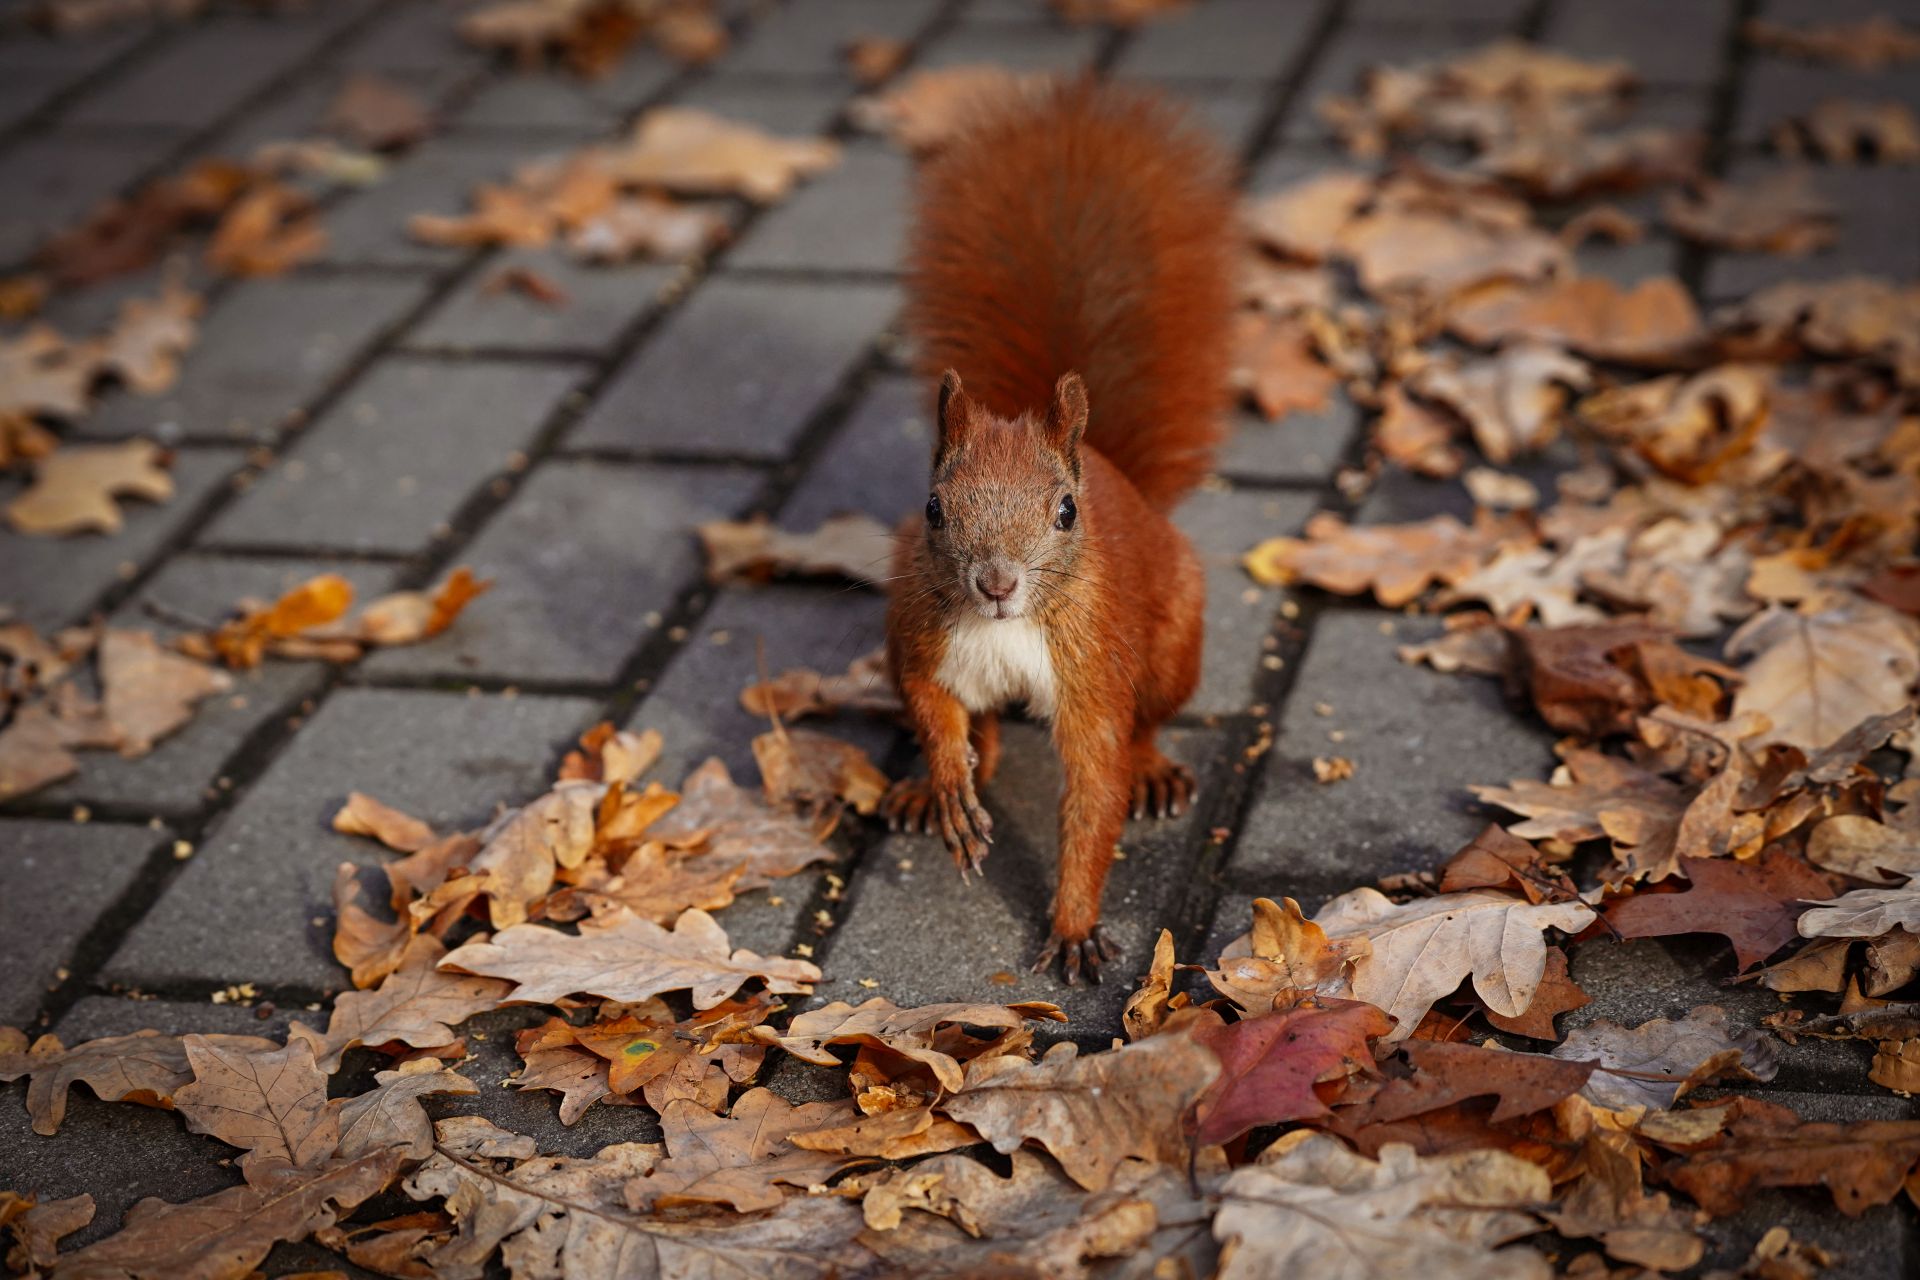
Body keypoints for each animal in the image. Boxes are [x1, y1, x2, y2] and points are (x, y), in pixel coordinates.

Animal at [879, 80, 1236, 982]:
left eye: (1066, 512)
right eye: (933, 508)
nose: (996, 583)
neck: (1006, 631)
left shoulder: (1091, 672)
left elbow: (1096, 785)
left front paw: (1074, 924)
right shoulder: (921, 639)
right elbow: (932, 705)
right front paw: (945, 779)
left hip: (1173, 641)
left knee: (1147, 721)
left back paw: (1154, 770)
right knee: (982, 723)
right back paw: (934, 785)